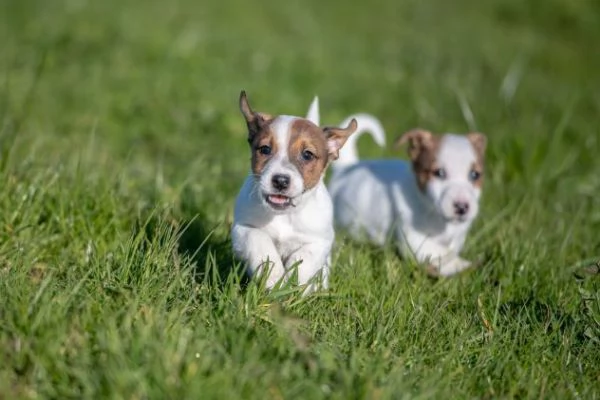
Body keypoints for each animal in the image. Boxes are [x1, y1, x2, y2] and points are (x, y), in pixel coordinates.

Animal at [232, 92, 358, 292]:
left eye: (307, 154)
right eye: (265, 149)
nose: (280, 181)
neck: (284, 214)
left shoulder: (319, 241)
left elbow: (303, 261)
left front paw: (291, 287)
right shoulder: (244, 228)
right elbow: (261, 245)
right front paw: (273, 278)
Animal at [326, 111, 486, 276]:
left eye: (475, 175)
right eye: (439, 173)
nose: (462, 207)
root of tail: (346, 167)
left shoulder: (457, 236)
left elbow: (450, 248)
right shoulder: (414, 238)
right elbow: (440, 253)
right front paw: (461, 265)